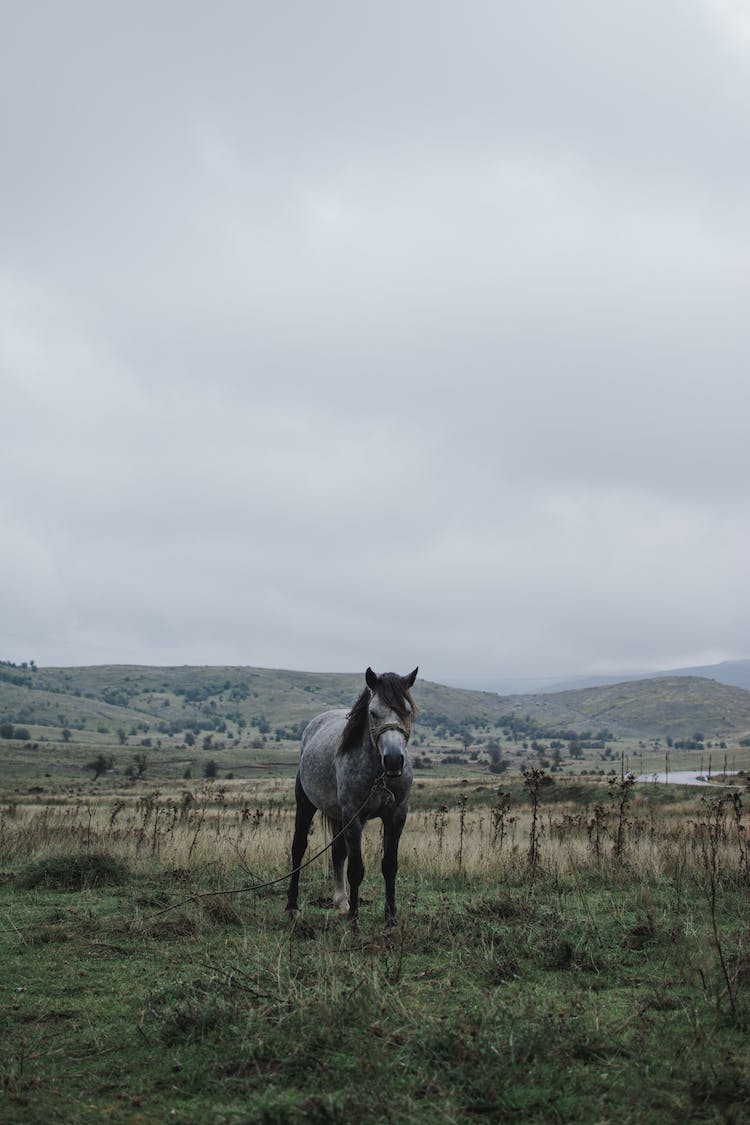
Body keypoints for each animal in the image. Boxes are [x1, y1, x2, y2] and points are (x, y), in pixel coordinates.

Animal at [285, 661, 420, 927]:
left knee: (337, 852)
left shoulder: (397, 815)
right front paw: (355, 922)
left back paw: (342, 903)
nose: (393, 760)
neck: (378, 773)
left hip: (339, 817)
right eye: (373, 712)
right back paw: (293, 907)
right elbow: (356, 869)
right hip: (306, 804)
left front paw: (390, 918)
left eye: (408, 711)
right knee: (299, 848)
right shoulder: (353, 816)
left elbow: (389, 865)